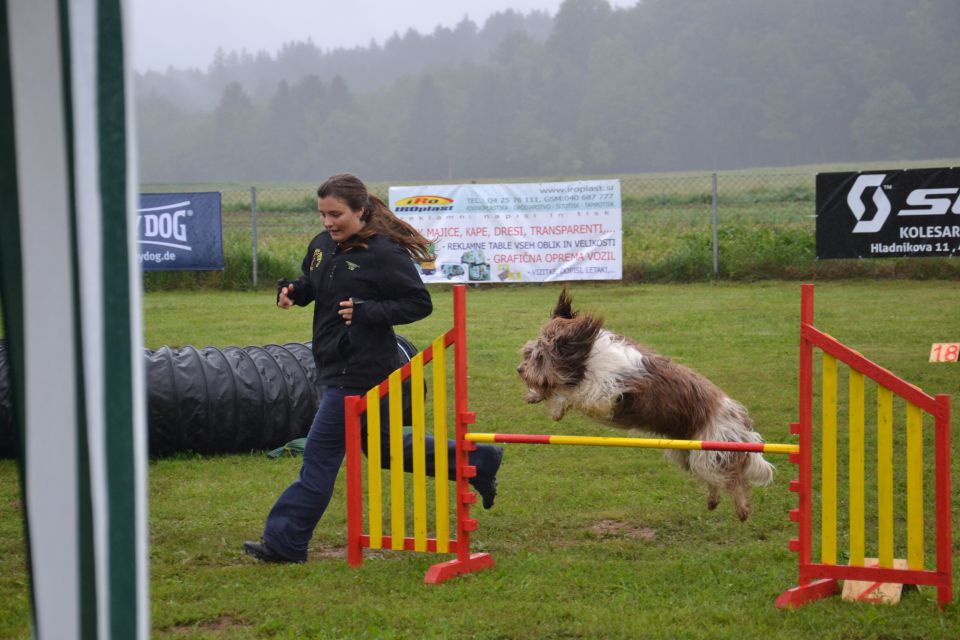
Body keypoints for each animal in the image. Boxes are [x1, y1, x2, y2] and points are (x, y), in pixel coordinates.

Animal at [516, 290, 772, 520]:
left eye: (539, 357)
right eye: (529, 352)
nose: (520, 369)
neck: (588, 359)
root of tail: (740, 420)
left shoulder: (604, 394)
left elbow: (570, 392)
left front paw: (554, 404)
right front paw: (536, 395)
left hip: (712, 448)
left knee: (734, 478)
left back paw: (742, 509)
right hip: (688, 453)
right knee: (715, 479)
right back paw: (713, 500)